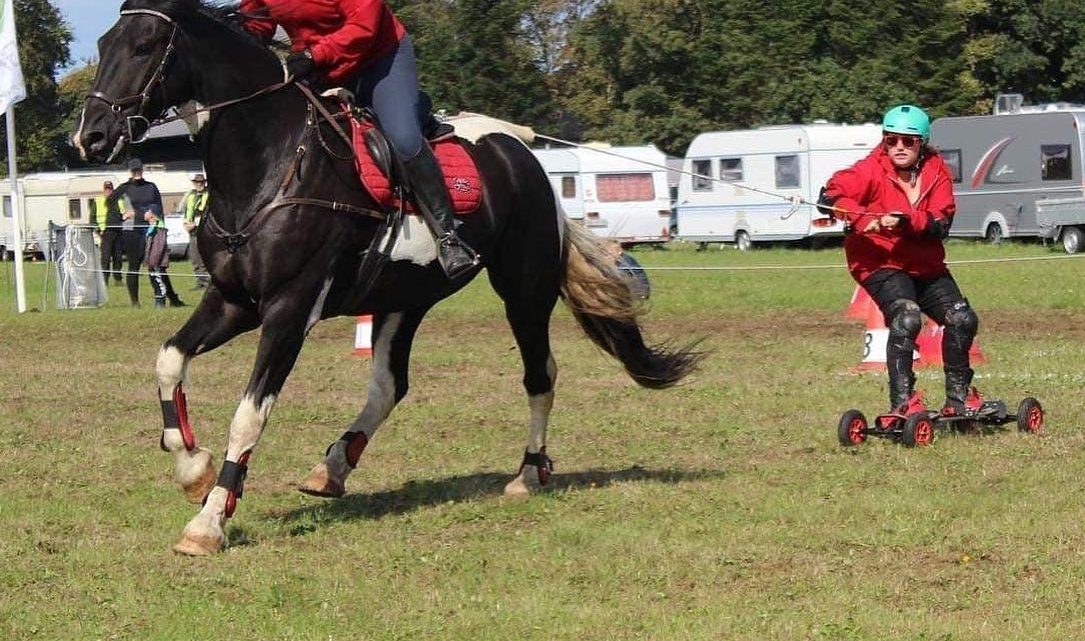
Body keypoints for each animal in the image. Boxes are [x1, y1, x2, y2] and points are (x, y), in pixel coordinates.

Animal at [76, 0, 703, 555]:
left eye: (145, 46)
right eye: (103, 45)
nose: (91, 137)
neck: (270, 164)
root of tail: (523, 157)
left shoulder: (289, 310)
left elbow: (248, 416)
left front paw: (209, 523)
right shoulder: (233, 301)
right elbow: (169, 360)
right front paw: (193, 469)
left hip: (523, 291)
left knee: (539, 375)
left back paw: (528, 472)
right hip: (404, 297)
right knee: (389, 385)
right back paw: (331, 468)